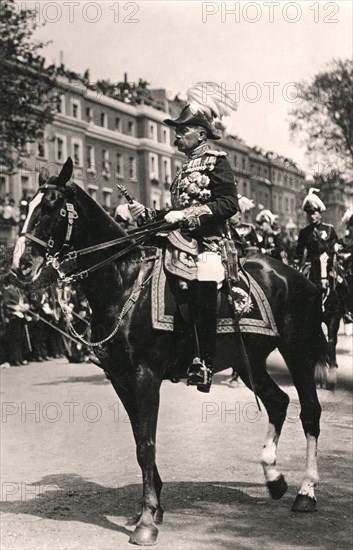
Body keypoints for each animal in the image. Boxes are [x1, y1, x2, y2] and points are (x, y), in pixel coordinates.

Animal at [13, 160, 328, 548]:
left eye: (51, 206)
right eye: (28, 206)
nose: (20, 265)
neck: (124, 282)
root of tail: (298, 277)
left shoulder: (146, 374)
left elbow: (147, 443)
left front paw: (148, 519)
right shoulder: (120, 378)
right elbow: (139, 441)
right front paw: (153, 506)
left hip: (297, 351)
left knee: (309, 412)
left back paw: (306, 492)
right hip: (248, 361)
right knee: (278, 402)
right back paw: (274, 478)